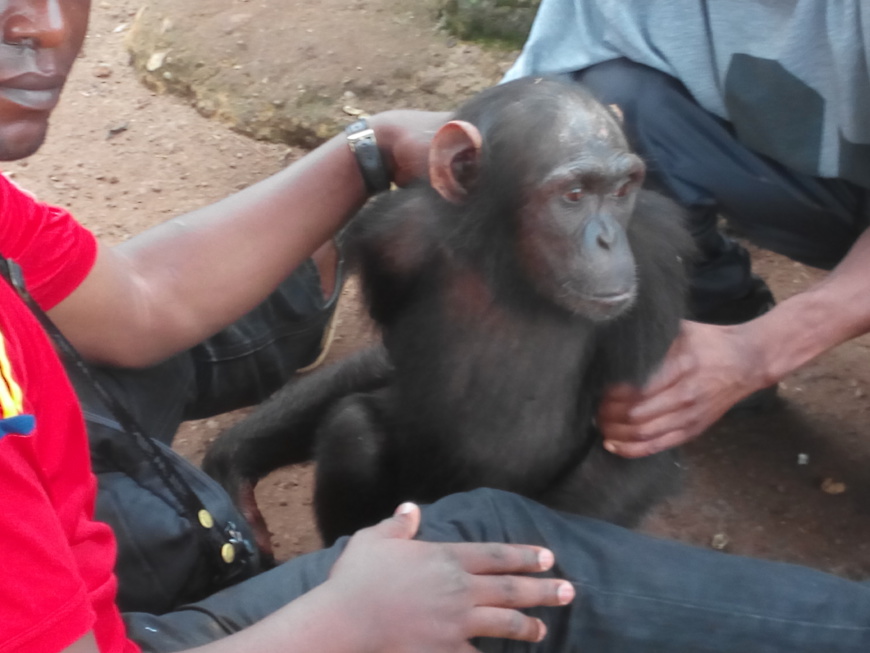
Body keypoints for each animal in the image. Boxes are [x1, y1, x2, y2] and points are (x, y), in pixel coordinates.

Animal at [203, 76, 696, 544]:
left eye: (622, 189)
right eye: (574, 194)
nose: (607, 239)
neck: (506, 263)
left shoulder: (655, 258)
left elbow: (628, 444)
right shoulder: (394, 238)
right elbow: (387, 361)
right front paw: (234, 462)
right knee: (352, 429)